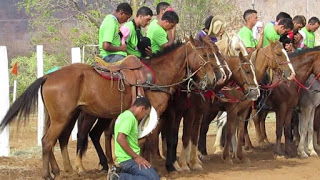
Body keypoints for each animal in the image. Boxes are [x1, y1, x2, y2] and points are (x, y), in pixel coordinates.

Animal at [0, 37, 216, 179]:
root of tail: (49, 76)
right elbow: (147, 141)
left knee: (56, 140)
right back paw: (48, 174)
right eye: (206, 55)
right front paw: (152, 166)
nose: (214, 79)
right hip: (64, 118)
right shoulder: (153, 114)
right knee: (48, 141)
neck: (157, 75)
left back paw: (62, 169)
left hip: (62, 117)